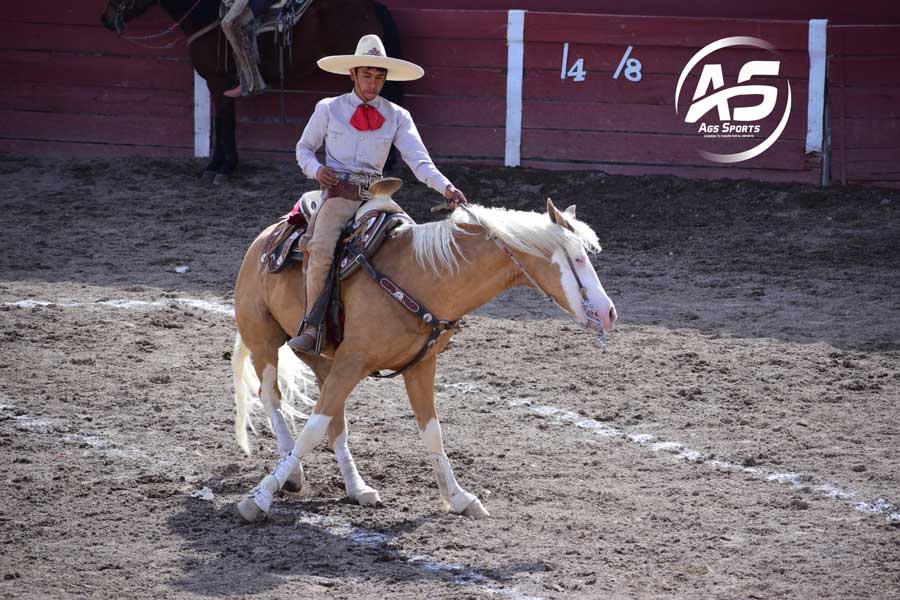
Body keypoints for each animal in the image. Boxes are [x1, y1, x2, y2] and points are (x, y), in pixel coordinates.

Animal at [98, 0, 398, 183]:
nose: (105, 19)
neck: (205, 15)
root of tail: (371, 7)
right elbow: (222, 121)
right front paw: (218, 166)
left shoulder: (217, 81)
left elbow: (225, 122)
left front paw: (221, 168)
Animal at [230, 197, 620, 520]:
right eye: (579, 259)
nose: (609, 313)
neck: (424, 277)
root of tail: (265, 237)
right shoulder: (353, 361)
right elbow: (310, 430)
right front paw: (259, 498)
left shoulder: (419, 366)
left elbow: (432, 433)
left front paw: (460, 498)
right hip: (264, 339)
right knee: (271, 397)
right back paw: (292, 471)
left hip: (322, 359)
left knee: (333, 420)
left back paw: (357, 487)